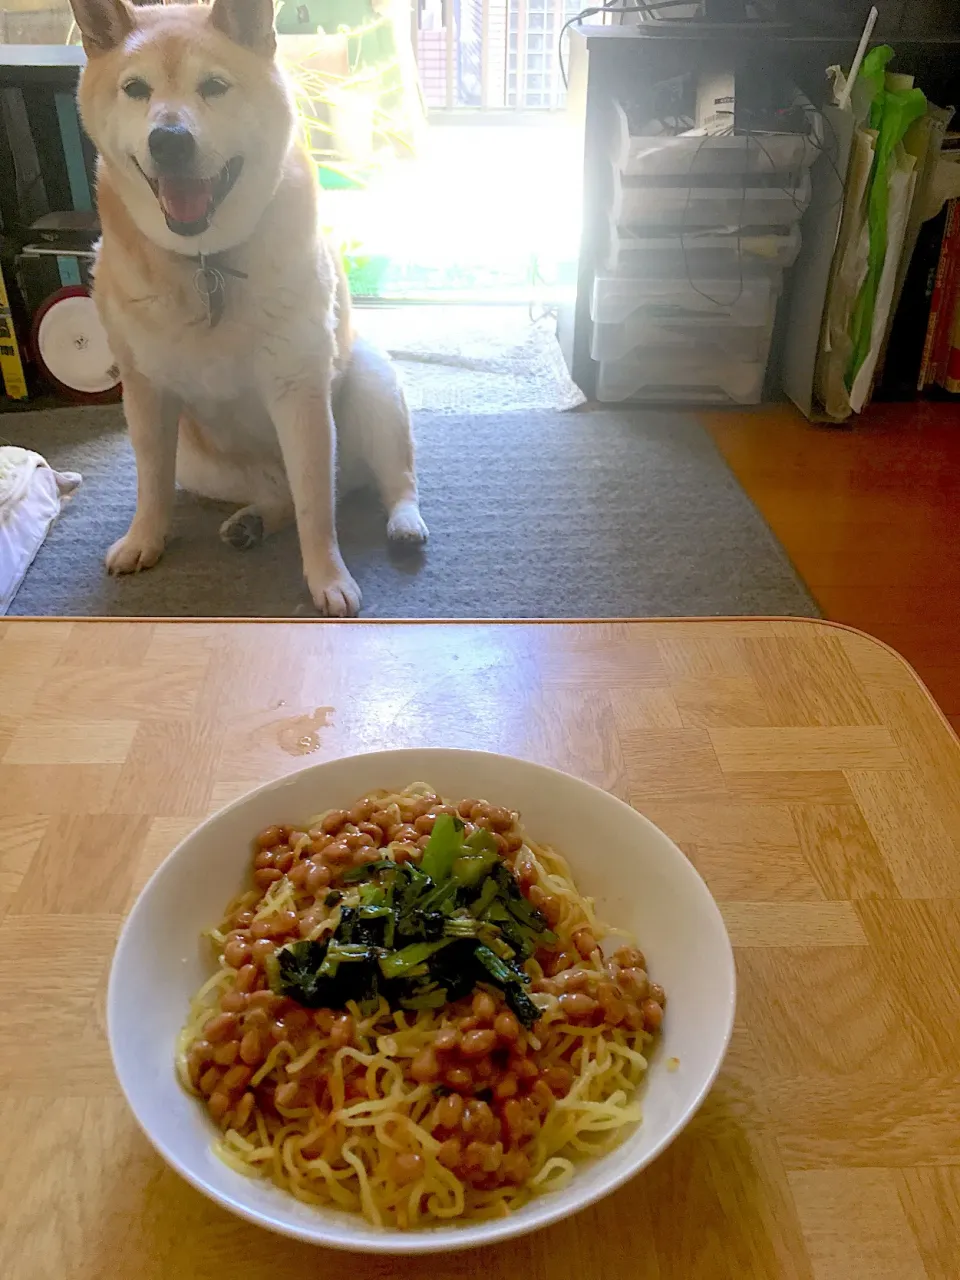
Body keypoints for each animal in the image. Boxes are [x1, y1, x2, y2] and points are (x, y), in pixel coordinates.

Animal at [67, 0, 427, 614]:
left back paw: (403, 523)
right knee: (279, 493)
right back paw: (251, 522)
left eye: (214, 86)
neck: (205, 262)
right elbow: (150, 483)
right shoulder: (146, 394)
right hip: (200, 460)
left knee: (385, 482)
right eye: (135, 89)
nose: (169, 140)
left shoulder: (299, 394)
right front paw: (144, 540)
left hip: (372, 388)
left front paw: (327, 577)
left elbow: (316, 509)